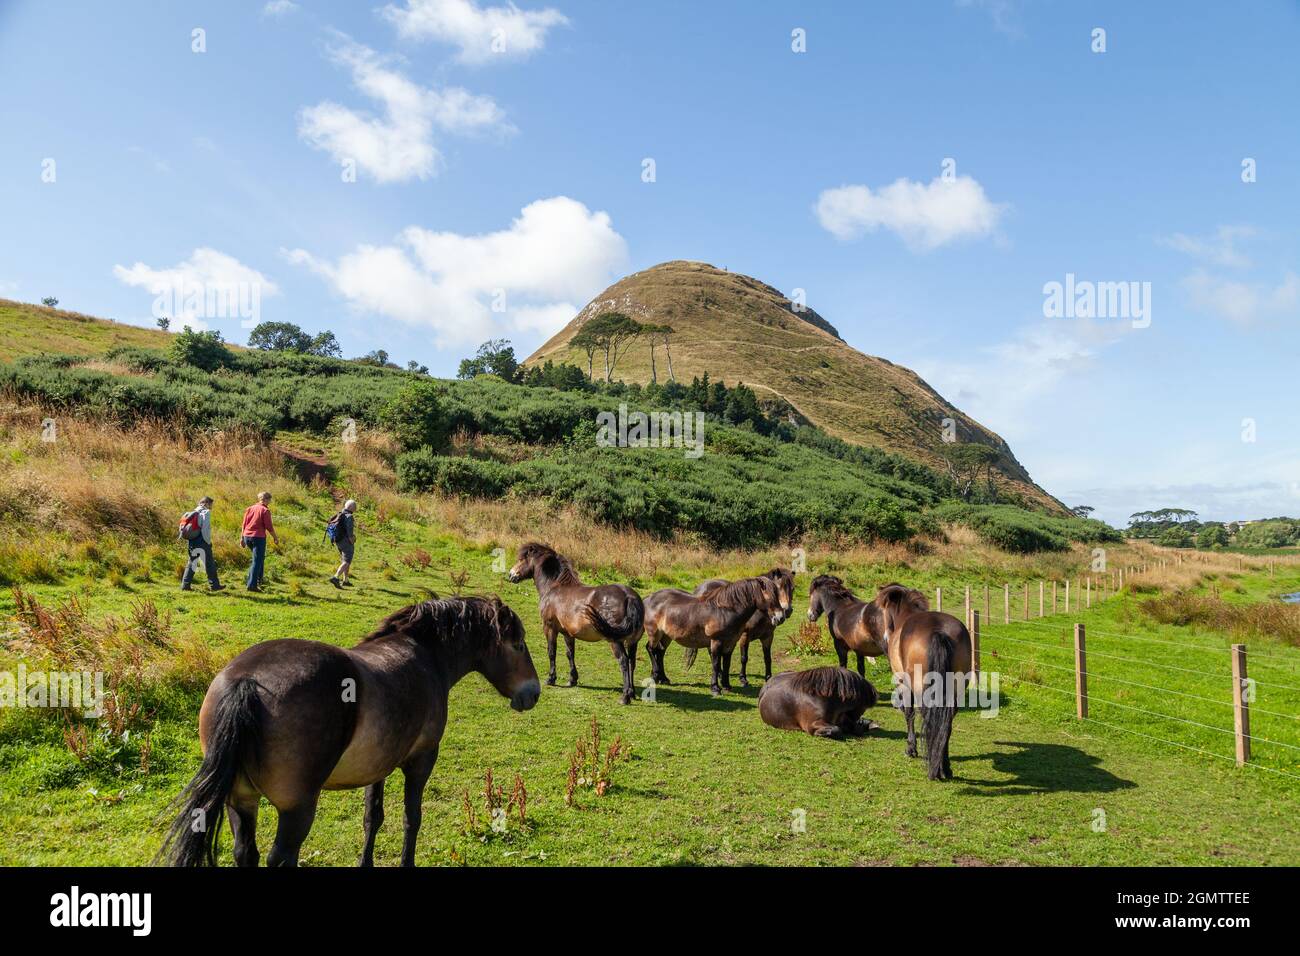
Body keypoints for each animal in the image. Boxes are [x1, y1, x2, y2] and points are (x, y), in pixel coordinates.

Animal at [161, 598, 538, 868]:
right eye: (519, 644)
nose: (533, 692)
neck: (425, 654)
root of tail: (246, 682)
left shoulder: (378, 765)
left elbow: (373, 817)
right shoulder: (421, 760)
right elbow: (411, 817)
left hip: (241, 801)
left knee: (246, 854)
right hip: (296, 808)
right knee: (279, 858)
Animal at [509, 541, 647, 707]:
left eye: (522, 559)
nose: (511, 575)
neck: (553, 587)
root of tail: (629, 596)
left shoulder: (549, 628)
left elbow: (551, 652)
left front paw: (551, 679)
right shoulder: (568, 633)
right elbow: (570, 654)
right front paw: (572, 679)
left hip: (615, 641)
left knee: (624, 662)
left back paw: (625, 697)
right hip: (632, 641)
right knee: (632, 662)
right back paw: (632, 693)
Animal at [642, 574, 780, 697]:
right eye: (769, 597)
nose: (779, 618)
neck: (724, 610)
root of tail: (648, 598)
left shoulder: (731, 643)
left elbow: (727, 663)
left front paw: (726, 685)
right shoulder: (716, 641)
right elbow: (716, 664)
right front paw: (715, 688)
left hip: (666, 636)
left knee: (660, 652)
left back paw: (663, 678)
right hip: (654, 633)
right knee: (650, 649)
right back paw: (656, 675)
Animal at [868, 582, 972, 780]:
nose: (884, 638)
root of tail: (938, 632)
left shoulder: (902, 682)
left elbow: (908, 713)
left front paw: (911, 749)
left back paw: (935, 768)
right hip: (955, 692)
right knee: (946, 724)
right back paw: (945, 767)